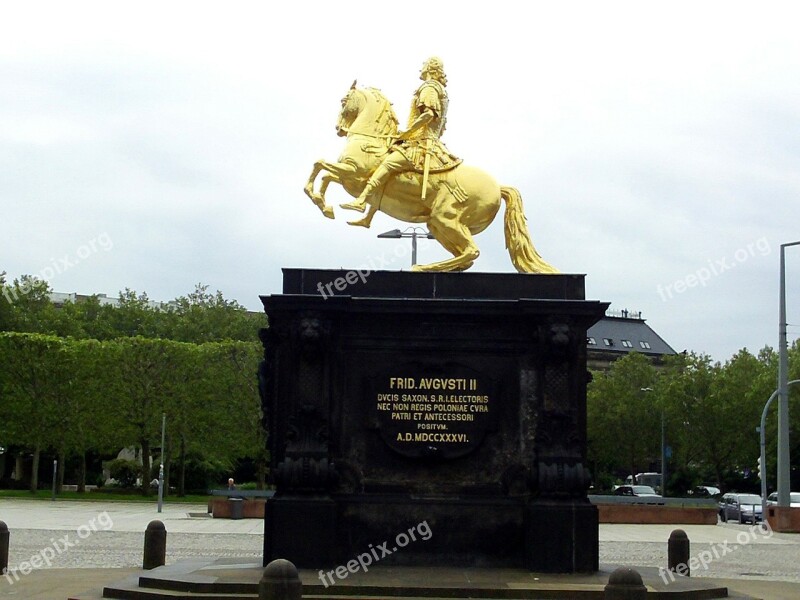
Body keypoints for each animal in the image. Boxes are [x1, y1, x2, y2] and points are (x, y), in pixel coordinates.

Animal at [304, 82, 560, 274]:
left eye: (343, 101)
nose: (338, 129)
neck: (371, 139)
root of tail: (499, 187)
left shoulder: (352, 174)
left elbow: (321, 167)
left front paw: (331, 203)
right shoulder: (347, 175)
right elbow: (324, 174)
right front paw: (324, 205)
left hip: (445, 218)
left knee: (472, 251)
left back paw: (421, 267)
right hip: (437, 225)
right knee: (467, 256)